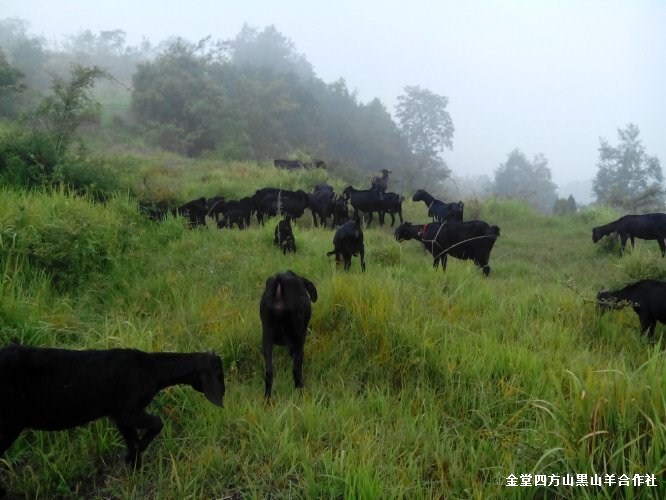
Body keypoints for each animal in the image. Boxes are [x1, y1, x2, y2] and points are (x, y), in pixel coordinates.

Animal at [0, 346, 224, 482]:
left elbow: (132, 439)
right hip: (8, 424)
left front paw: (134, 465)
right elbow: (157, 423)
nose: (223, 395)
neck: (150, 369)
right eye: (219, 374)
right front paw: (133, 459)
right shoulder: (127, 411)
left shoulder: (119, 416)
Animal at [258, 268, 318, 400]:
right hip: (297, 338)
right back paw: (301, 392)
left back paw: (267, 399)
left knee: (269, 372)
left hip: (267, 338)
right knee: (296, 370)